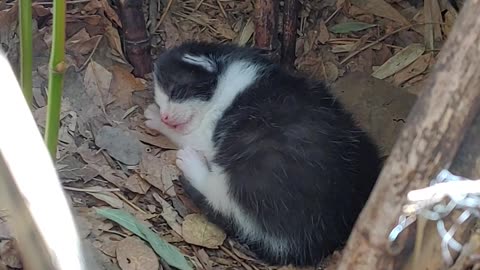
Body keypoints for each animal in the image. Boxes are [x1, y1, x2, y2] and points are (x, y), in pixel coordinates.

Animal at [143, 41, 382, 266]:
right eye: (160, 100)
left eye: (175, 91)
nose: (164, 116)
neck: (226, 81)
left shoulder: (208, 133)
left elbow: (186, 136)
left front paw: (154, 119)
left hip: (256, 168)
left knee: (223, 200)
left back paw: (191, 163)